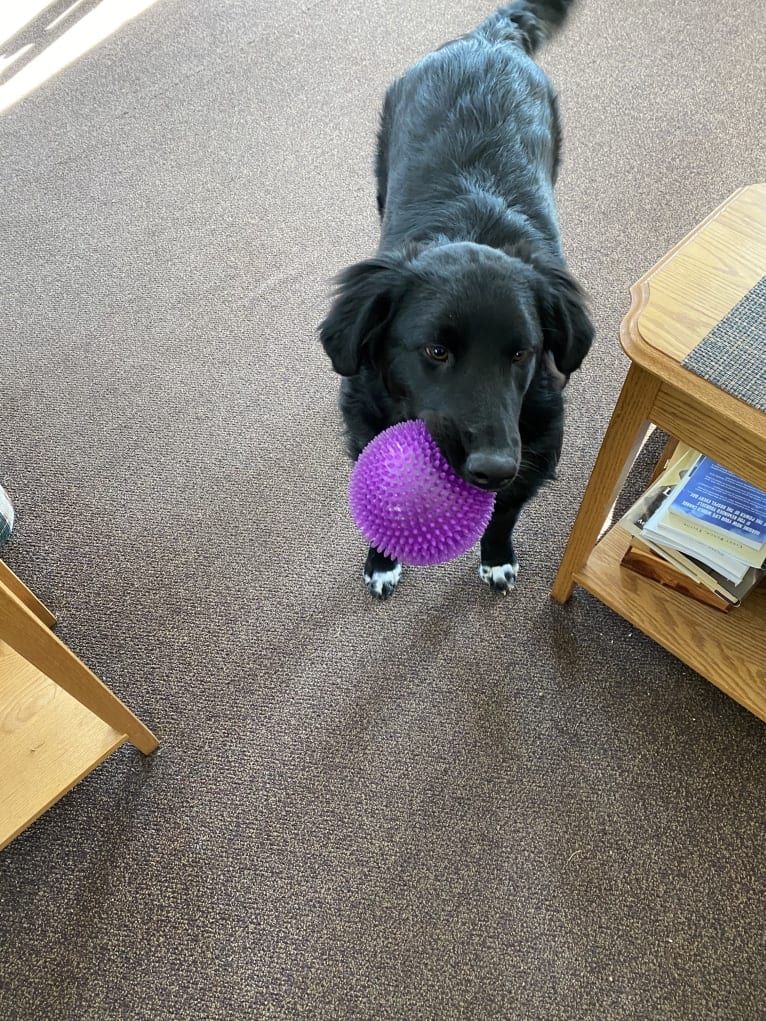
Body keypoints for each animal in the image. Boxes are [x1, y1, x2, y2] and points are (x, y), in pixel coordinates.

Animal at [318, 0, 592, 596]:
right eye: (436, 351)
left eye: (522, 353)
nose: (493, 466)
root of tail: (487, 39)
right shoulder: (364, 432)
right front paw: (382, 561)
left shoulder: (535, 451)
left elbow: (503, 515)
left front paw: (496, 557)